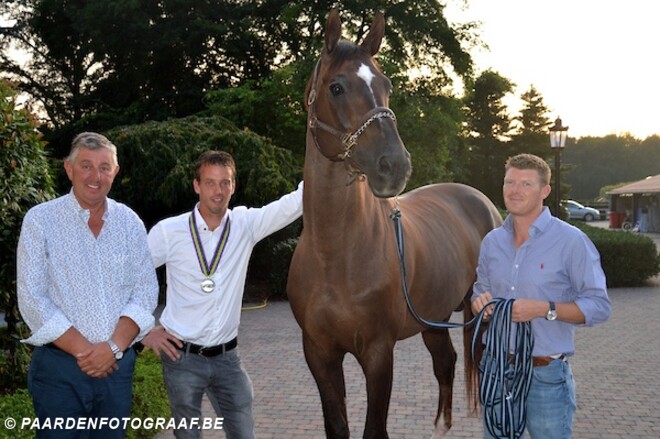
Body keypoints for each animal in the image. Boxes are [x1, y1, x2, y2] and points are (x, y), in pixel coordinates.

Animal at [286, 9, 502, 439]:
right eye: (336, 87)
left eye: (385, 84)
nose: (395, 165)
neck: (334, 255)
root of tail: (483, 200)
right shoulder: (319, 354)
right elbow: (337, 426)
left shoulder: (378, 351)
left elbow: (375, 428)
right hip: (434, 317)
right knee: (446, 362)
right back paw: (440, 425)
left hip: (481, 314)